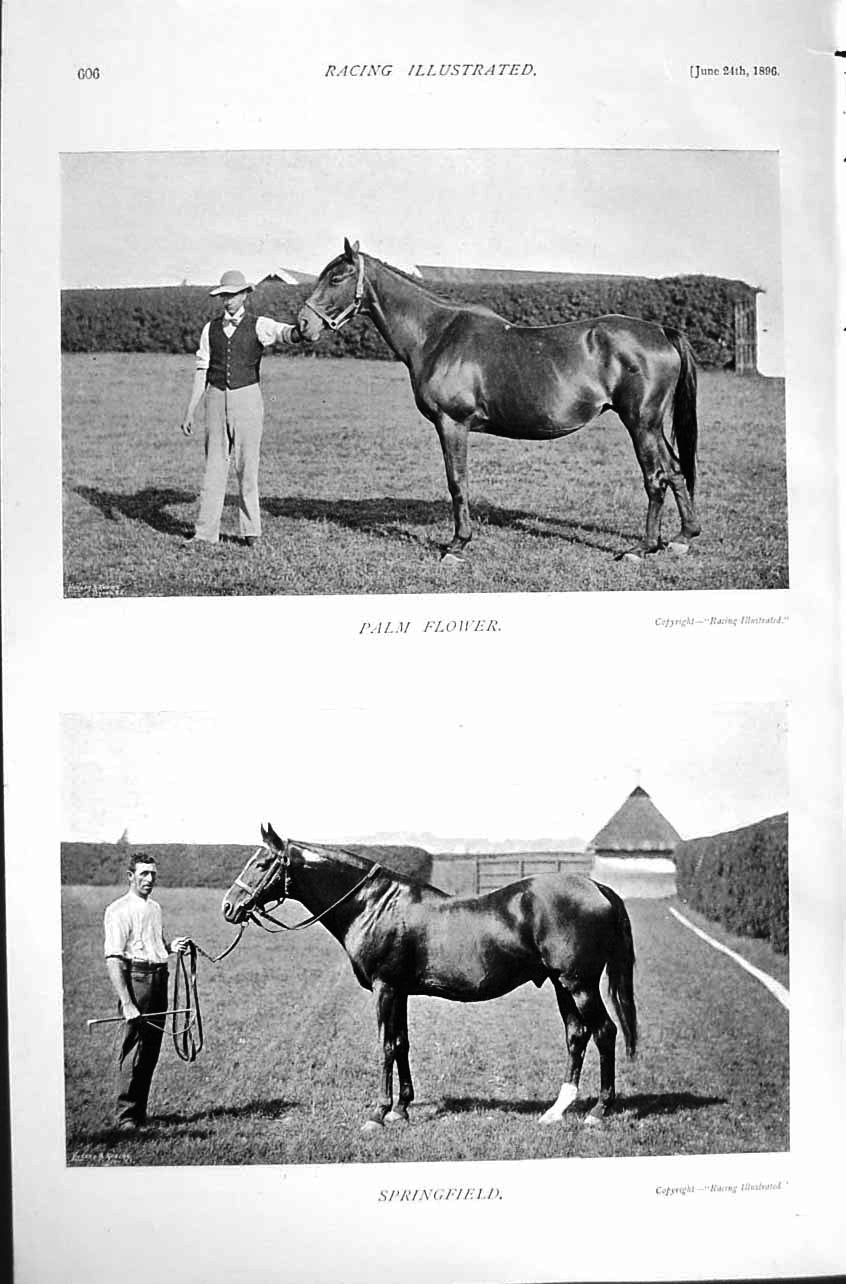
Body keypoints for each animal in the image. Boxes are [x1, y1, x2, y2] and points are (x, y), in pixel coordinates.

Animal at [222, 823, 637, 1132]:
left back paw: (598, 1111)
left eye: (262, 863)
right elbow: (402, 1044)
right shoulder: (400, 992)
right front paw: (402, 1109)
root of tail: (597, 887)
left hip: (579, 984)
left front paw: (378, 1113)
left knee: (604, 1032)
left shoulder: (384, 989)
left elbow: (386, 1046)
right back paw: (556, 1110)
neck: (375, 906)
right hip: (561, 984)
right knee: (577, 1035)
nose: (229, 906)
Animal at [298, 239, 700, 562]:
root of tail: (661, 331)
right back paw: (683, 538)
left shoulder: (452, 423)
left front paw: (457, 545)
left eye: (338, 278)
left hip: (640, 423)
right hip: (652, 425)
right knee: (676, 470)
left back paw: (642, 548)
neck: (436, 335)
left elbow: (457, 482)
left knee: (656, 479)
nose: (302, 325)